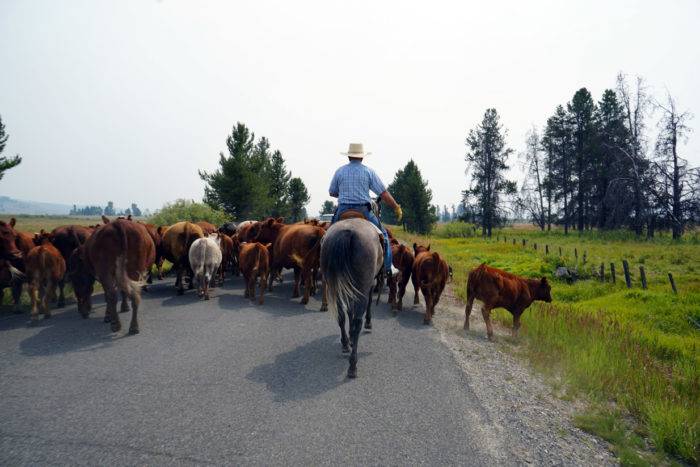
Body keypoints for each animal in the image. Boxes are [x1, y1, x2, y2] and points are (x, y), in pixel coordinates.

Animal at [322, 218, 382, 378]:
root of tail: (347, 232)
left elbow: (349, 310)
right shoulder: (368, 286)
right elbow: (366, 305)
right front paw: (369, 323)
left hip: (334, 285)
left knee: (341, 316)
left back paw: (345, 343)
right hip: (363, 286)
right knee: (357, 322)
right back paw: (353, 365)